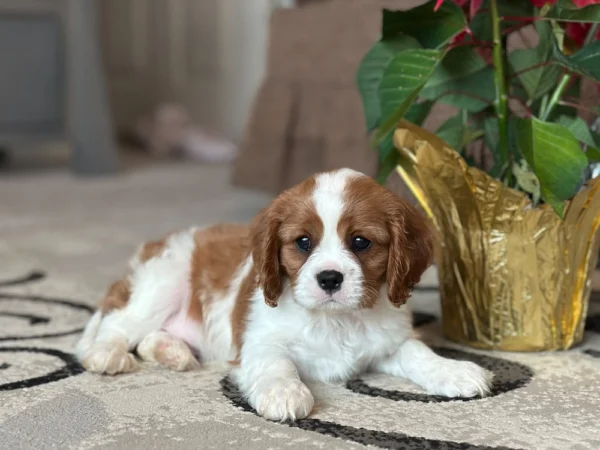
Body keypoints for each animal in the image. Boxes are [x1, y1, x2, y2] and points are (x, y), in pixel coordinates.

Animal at [76, 168, 492, 422]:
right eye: (303, 243)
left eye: (361, 242)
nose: (329, 279)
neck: (335, 320)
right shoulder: (261, 341)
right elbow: (278, 364)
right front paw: (285, 393)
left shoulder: (390, 341)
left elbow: (418, 353)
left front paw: (454, 370)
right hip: (165, 282)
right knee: (118, 324)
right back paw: (106, 354)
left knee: (148, 337)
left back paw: (172, 352)